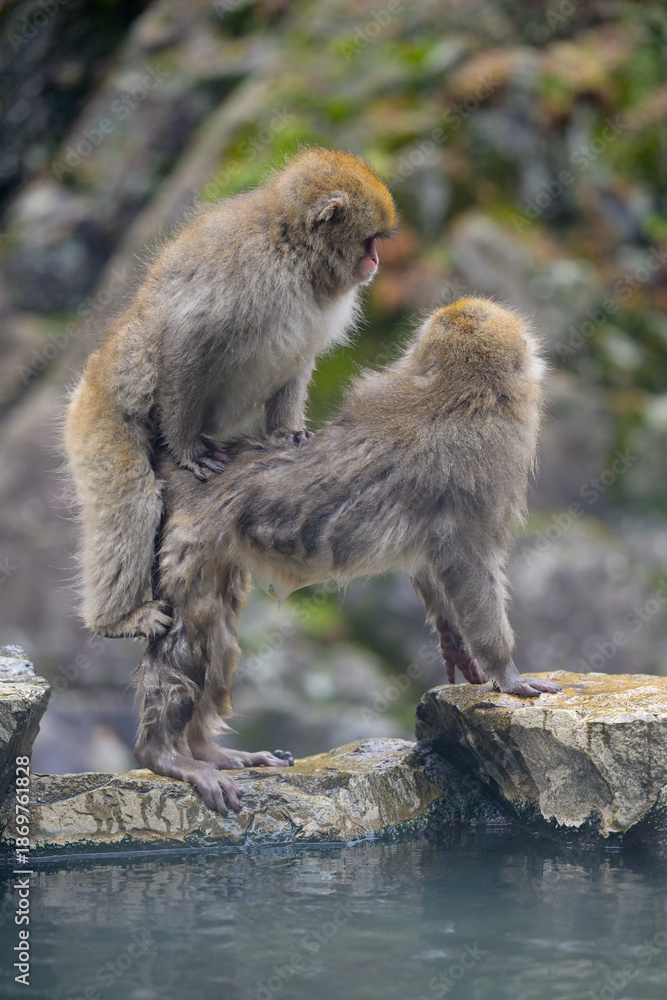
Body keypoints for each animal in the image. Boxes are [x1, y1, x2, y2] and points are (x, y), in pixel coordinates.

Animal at [64, 147, 396, 642]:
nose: (375, 263)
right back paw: (118, 620)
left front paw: (286, 433)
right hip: (98, 420)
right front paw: (187, 450)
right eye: (370, 240)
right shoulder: (247, 273)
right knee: (131, 500)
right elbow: (186, 346)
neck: (294, 251)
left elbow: (297, 359)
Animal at [131, 296, 561, 814]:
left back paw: (207, 749)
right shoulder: (487, 469)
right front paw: (508, 673)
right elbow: (470, 566)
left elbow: (430, 561)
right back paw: (166, 755)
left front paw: (457, 645)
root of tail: (183, 465)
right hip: (190, 542)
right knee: (189, 633)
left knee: (217, 631)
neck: (459, 392)